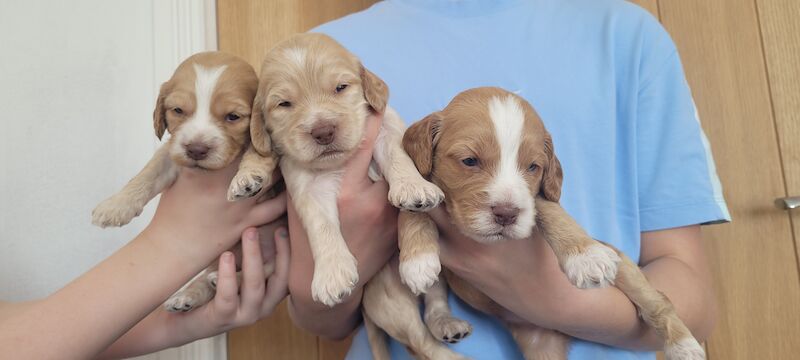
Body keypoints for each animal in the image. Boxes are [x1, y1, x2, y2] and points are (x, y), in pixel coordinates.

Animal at [89, 51, 278, 312]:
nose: (196, 149)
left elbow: (258, 151)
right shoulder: (171, 153)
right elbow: (148, 171)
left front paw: (247, 178)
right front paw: (115, 206)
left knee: (265, 271)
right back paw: (189, 295)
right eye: (178, 110)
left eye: (233, 117)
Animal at [228, 34, 446, 306]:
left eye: (341, 87)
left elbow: (400, 162)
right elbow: (321, 224)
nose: (323, 132)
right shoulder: (305, 183)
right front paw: (332, 275)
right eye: (284, 104)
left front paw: (417, 259)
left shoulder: (386, 126)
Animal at [362, 88, 708, 360]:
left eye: (532, 167)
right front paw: (417, 260)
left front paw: (585, 257)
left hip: (623, 264)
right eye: (469, 161)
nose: (506, 214)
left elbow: (550, 210)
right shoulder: (424, 186)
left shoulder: (537, 197)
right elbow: (411, 207)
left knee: (658, 300)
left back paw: (685, 345)